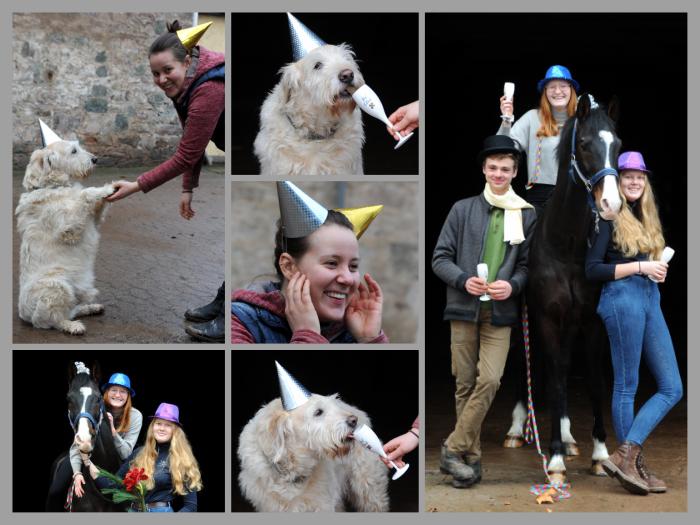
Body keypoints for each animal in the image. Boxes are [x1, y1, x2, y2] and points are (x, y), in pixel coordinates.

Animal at [16, 130, 115, 336]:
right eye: (73, 151)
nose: (95, 159)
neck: (53, 186)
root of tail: (24, 314)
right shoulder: (68, 227)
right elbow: (85, 194)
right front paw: (105, 188)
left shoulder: (93, 220)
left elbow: (95, 206)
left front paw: (110, 189)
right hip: (57, 286)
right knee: (48, 321)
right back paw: (72, 326)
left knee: (70, 310)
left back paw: (91, 308)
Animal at [504, 95, 624, 484]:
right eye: (584, 144)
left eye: (617, 145)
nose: (611, 204)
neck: (566, 247)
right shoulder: (546, 318)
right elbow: (555, 380)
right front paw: (554, 460)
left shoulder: (590, 321)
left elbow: (594, 381)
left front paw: (599, 454)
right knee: (523, 362)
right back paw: (517, 429)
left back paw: (570, 438)